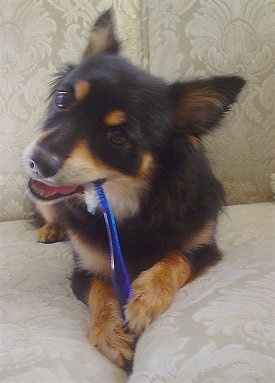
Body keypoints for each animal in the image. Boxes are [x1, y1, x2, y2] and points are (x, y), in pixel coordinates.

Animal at [24, 10, 246, 374]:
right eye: (62, 100)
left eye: (118, 136)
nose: (36, 161)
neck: (125, 202)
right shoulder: (84, 268)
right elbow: (101, 292)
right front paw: (111, 333)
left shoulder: (204, 249)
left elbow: (175, 258)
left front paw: (143, 300)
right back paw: (52, 228)